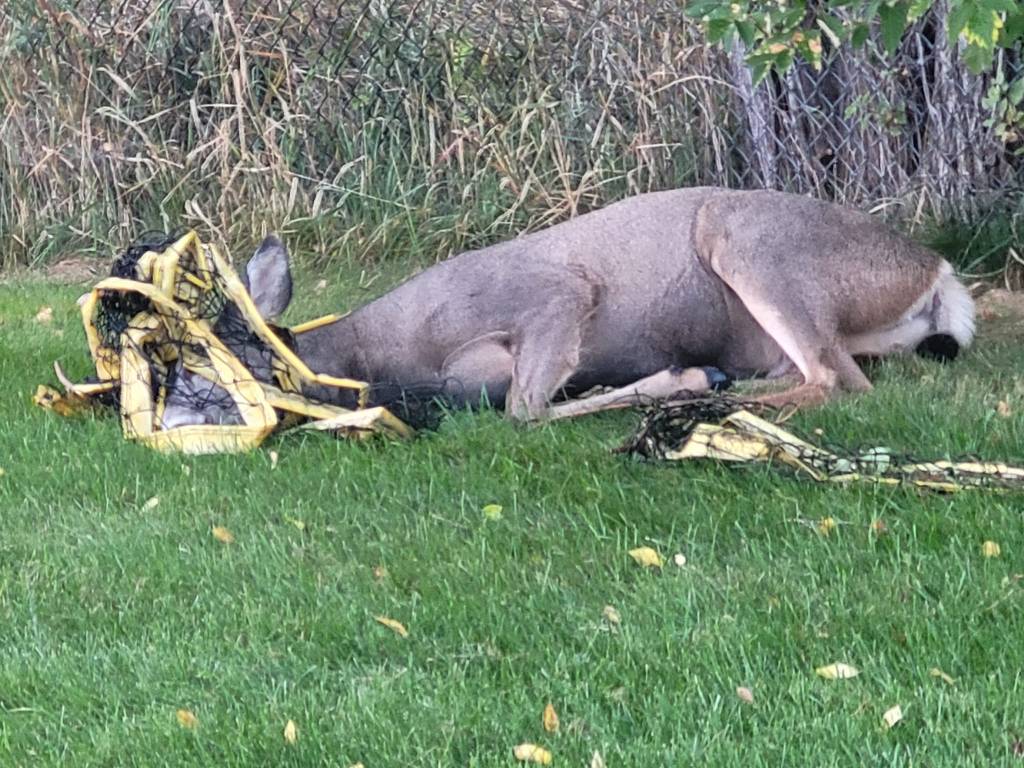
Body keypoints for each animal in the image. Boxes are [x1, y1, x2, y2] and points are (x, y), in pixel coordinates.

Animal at [161, 186, 975, 429]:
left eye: (207, 357)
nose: (165, 418)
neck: (381, 352)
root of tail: (932, 269)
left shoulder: (558, 292)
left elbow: (524, 408)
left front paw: (678, 380)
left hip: (749, 241)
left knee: (839, 380)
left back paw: (707, 393)